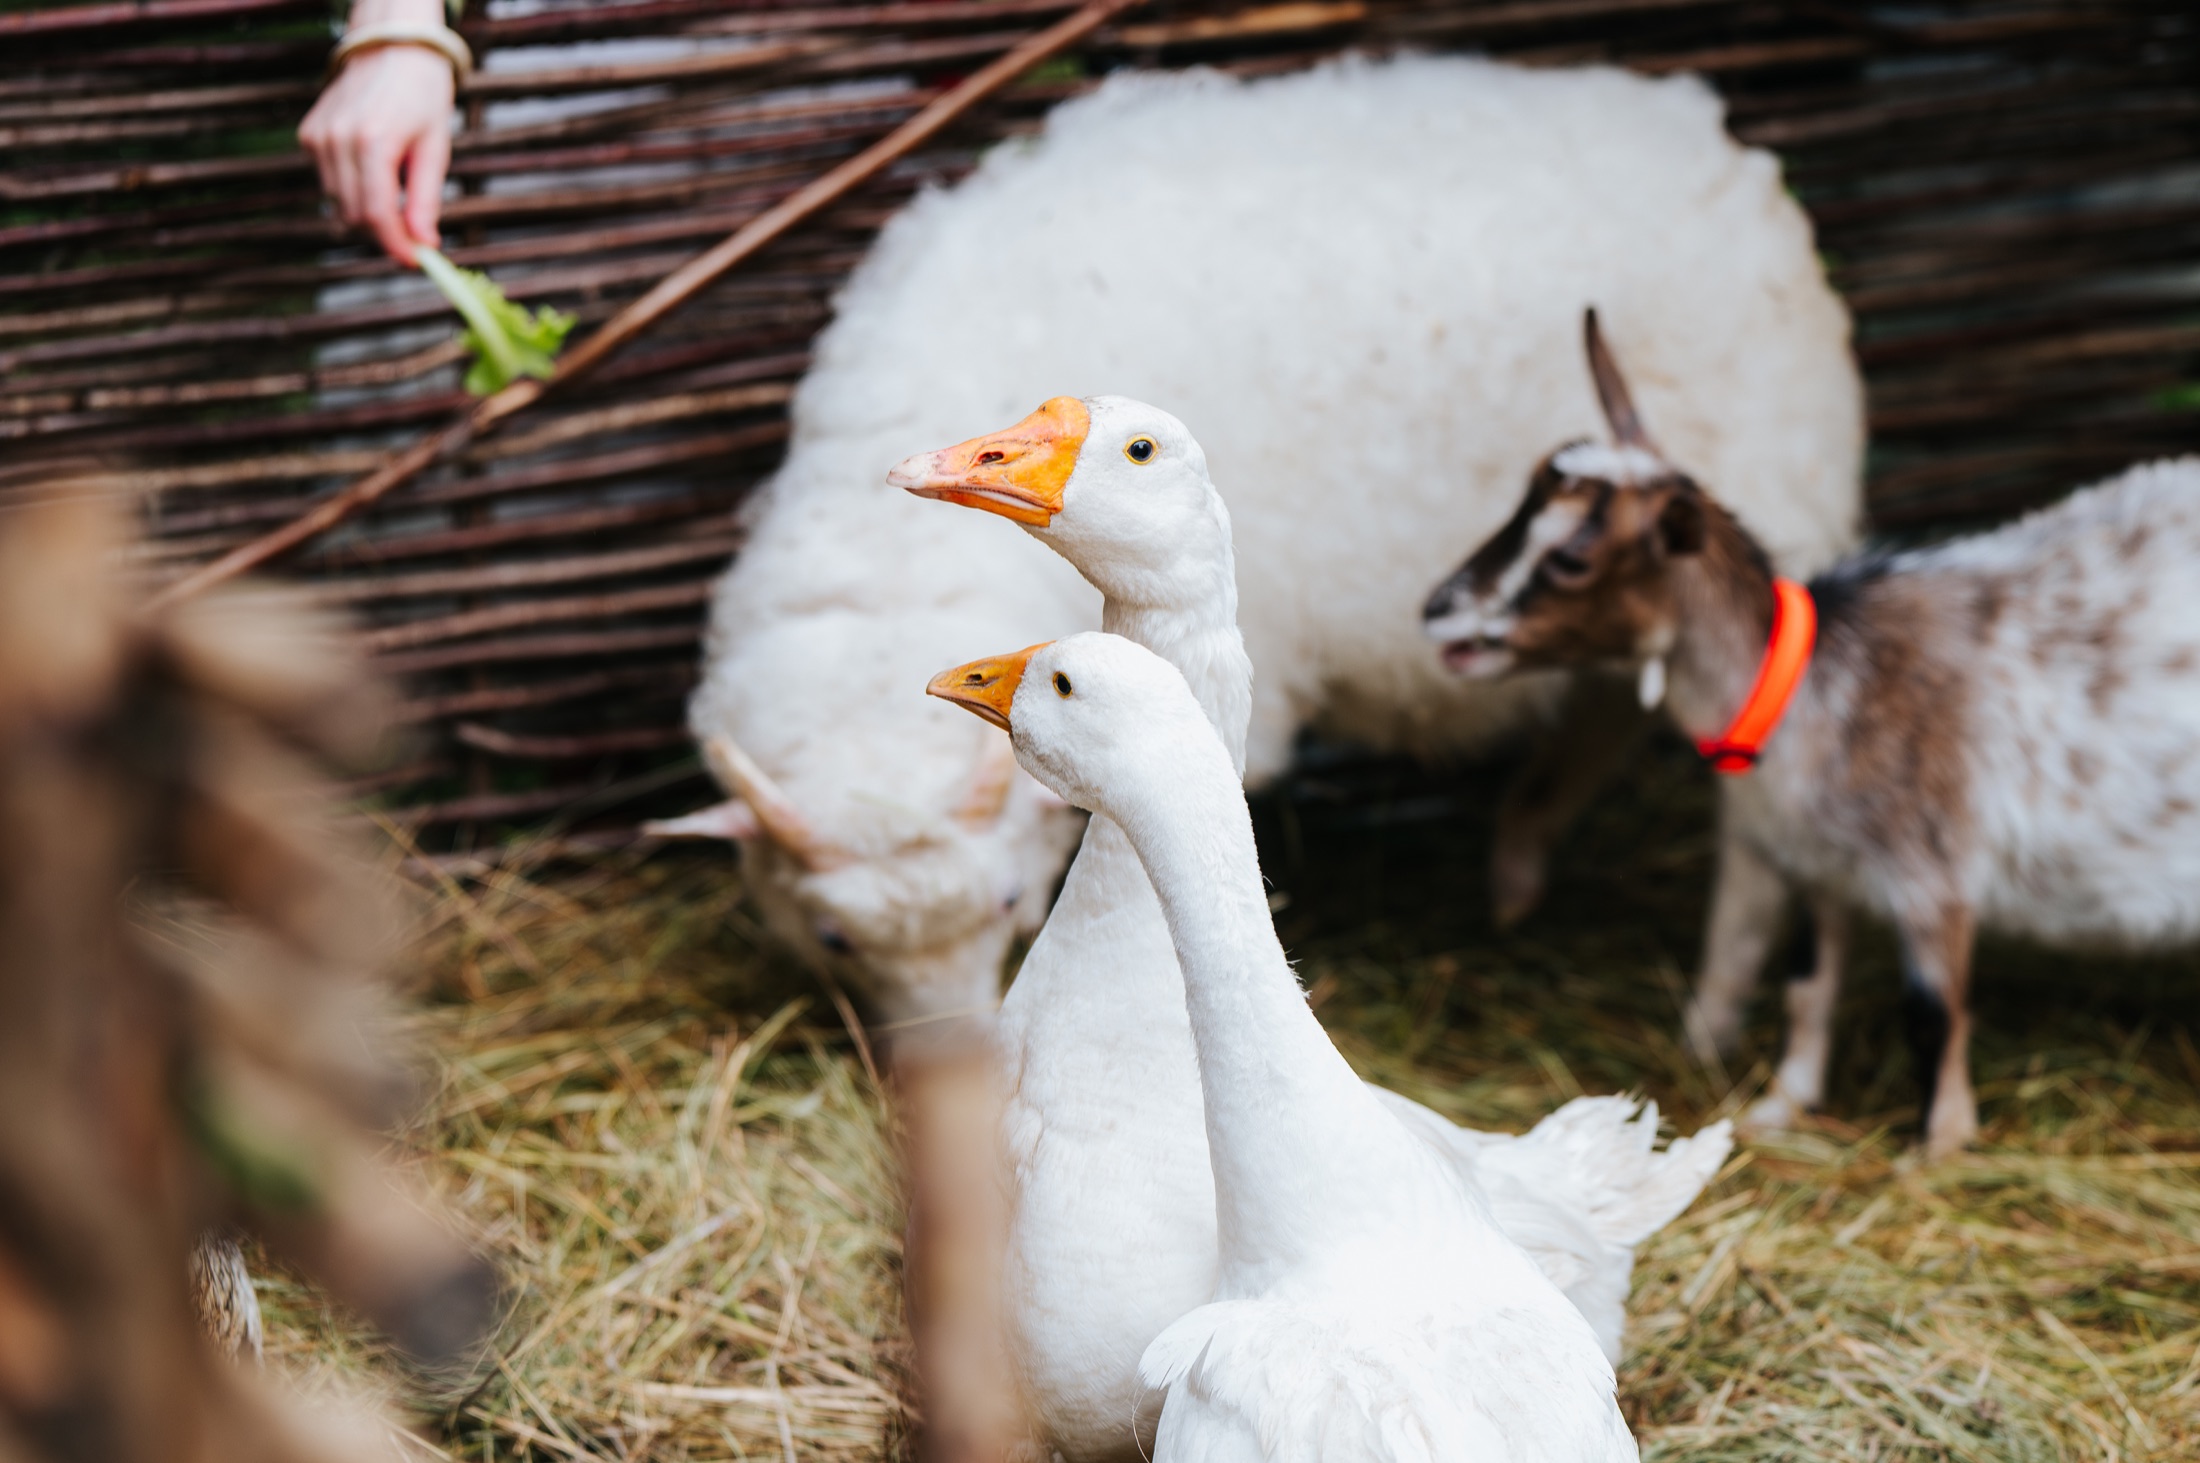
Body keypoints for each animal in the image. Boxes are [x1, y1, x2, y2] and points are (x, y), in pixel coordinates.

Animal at [1424, 310, 2200, 1157]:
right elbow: (1808, 986)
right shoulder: (1819, 866)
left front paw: (1935, 1148)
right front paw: (1778, 1106)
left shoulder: (1933, 870)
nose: (1437, 611)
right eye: (1521, 499)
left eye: (1571, 557)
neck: (1810, 689)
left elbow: (1933, 1013)